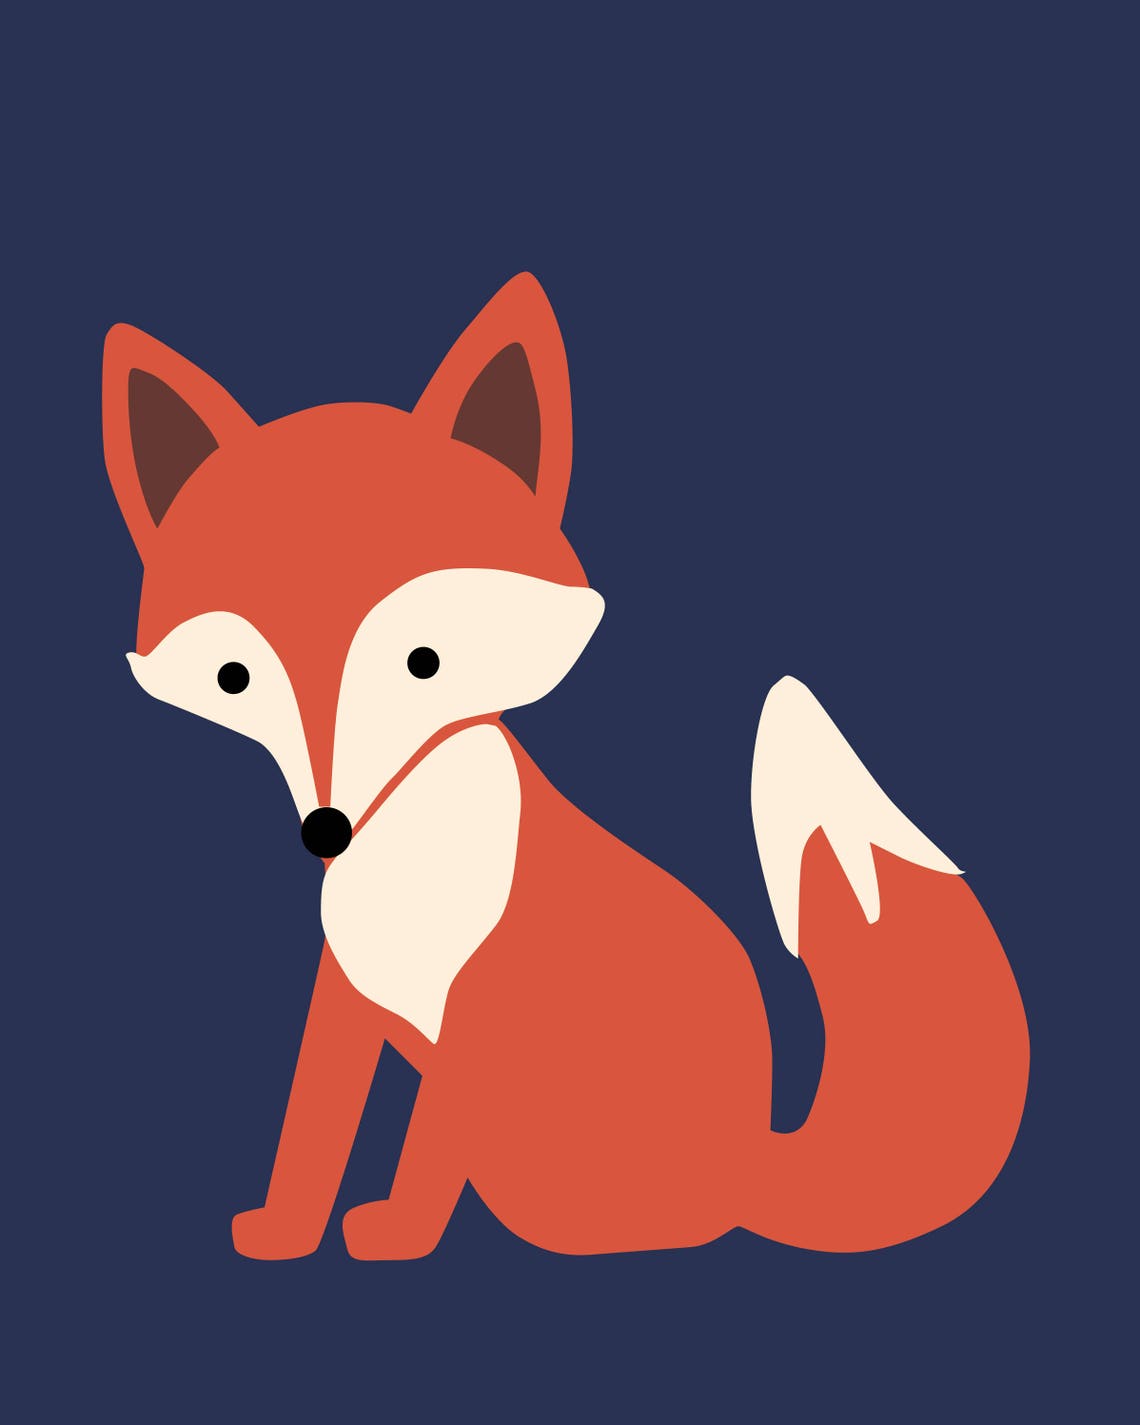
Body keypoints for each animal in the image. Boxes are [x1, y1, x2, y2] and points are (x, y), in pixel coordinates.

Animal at [102, 273, 1029, 1259]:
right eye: (234, 676)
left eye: (426, 662)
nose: (326, 830)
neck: (412, 871)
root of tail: (751, 1159)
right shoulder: (344, 1001)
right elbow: (312, 1125)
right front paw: (286, 1230)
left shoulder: (480, 1014)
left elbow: (428, 1140)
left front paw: (403, 1229)